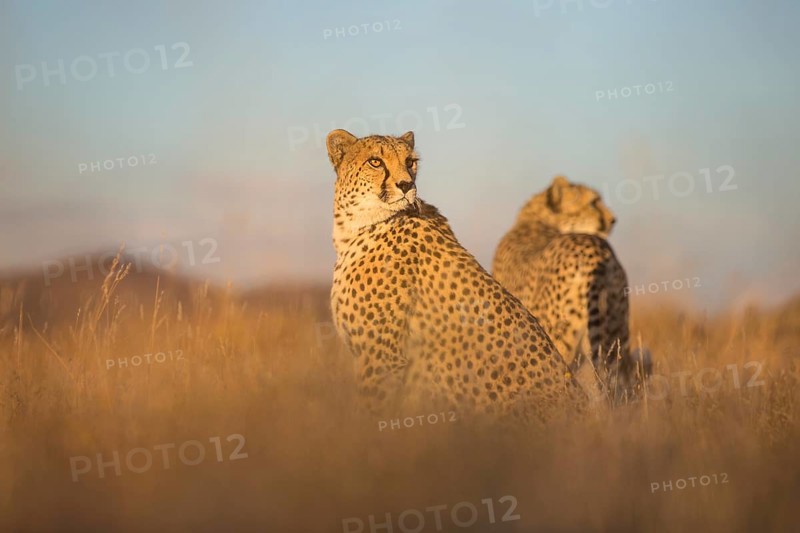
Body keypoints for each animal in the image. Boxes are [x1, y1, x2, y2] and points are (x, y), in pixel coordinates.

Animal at [326, 130, 586, 423]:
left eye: (410, 162)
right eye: (375, 162)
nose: (406, 185)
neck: (357, 226)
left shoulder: (381, 357)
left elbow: (372, 412)